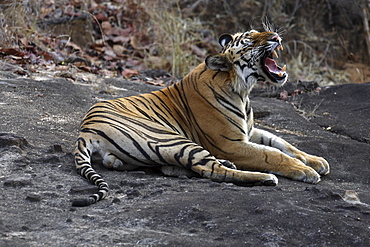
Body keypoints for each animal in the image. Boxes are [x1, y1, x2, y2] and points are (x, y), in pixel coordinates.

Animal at [71, 26, 330, 206]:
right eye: (250, 41)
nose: (276, 36)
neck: (243, 90)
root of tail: (85, 130)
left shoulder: (249, 131)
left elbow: (283, 143)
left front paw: (317, 161)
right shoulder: (231, 144)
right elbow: (272, 154)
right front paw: (306, 171)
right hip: (171, 138)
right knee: (211, 171)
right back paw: (264, 178)